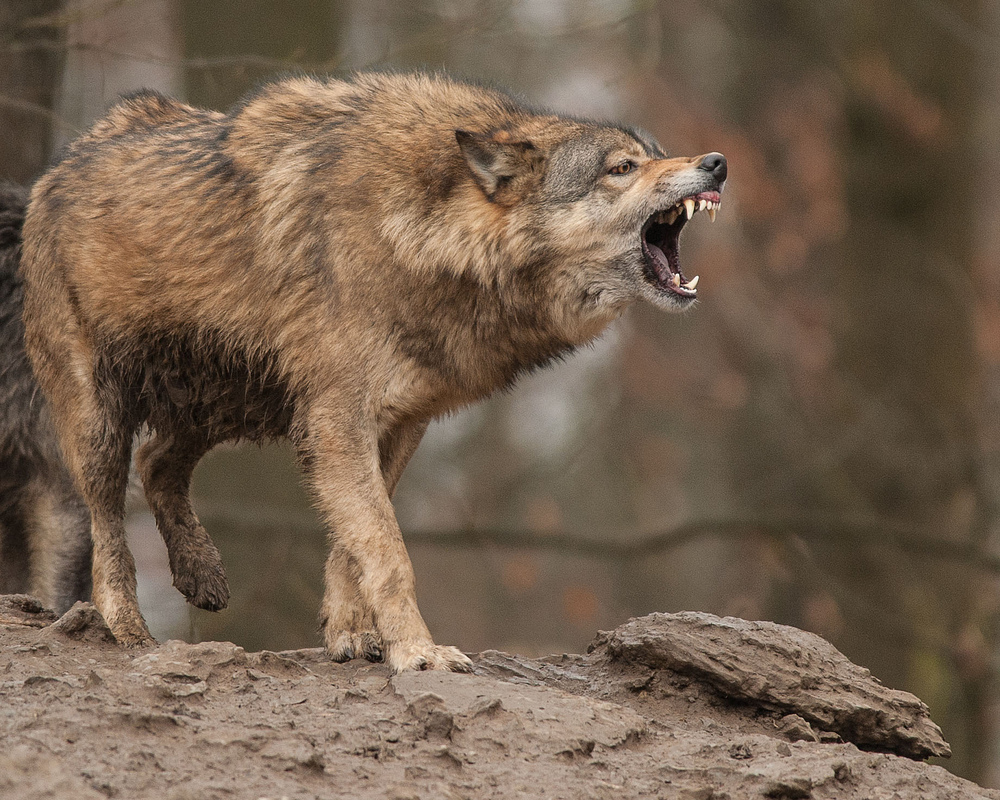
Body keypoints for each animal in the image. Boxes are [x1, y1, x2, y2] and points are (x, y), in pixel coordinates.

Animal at [21, 69, 728, 672]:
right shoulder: (338, 422)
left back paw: (203, 574)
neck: (420, 232)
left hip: (230, 403)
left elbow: (350, 548)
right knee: (107, 520)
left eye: (655, 153)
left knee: (157, 462)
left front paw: (350, 637)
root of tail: (56, 166)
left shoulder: (397, 423)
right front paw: (418, 652)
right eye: (621, 168)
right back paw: (128, 628)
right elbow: (388, 553)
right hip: (103, 420)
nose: (716, 162)